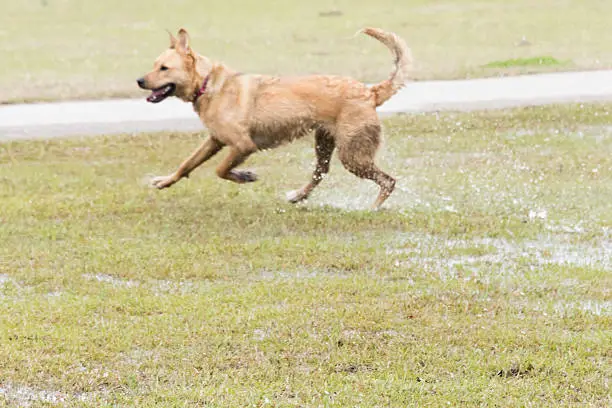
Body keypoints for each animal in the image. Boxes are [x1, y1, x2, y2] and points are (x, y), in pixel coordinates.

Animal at [137, 27, 412, 209]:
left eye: (164, 68)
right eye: (154, 65)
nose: (139, 80)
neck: (207, 84)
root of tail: (370, 92)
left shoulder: (243, 145)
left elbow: (220, 169)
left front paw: (245, 176)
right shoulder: (215, 140)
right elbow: (187, 163)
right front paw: (164, 181)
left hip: (353, 154)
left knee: (388, 181)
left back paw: (373, 207)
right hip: (325, 142)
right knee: (321, 172)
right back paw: (298, 196)